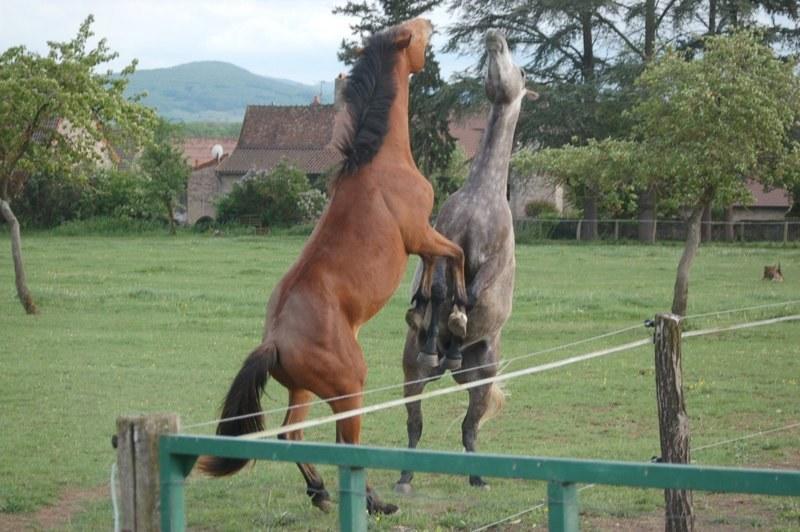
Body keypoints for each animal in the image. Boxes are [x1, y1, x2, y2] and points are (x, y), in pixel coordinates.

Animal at [196, 17, 466, 516]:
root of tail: (275, 341)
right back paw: (372, 502)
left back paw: (321, 492)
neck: (379, 162)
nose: (429, 22)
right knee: (344, 444)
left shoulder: (422, 243)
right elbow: (454, 256)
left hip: (303, 390)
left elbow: (436, 276)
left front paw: (428, 323)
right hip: (349, 386)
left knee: (293, 436)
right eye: (414, 34)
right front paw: (454, 323)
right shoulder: (421, 234)